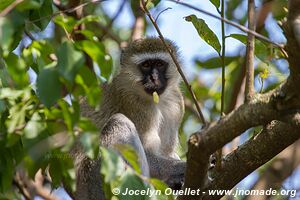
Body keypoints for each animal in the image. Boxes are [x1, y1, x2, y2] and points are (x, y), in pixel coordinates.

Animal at [72, 38, 186, 200]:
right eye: (146, 65)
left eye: (159, 64)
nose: (154, 78)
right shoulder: (134, 104)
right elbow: (149, 154)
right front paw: (185, 166)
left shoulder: (177, 103)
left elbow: (167, 152)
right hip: (95, 178)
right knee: (120, 122)